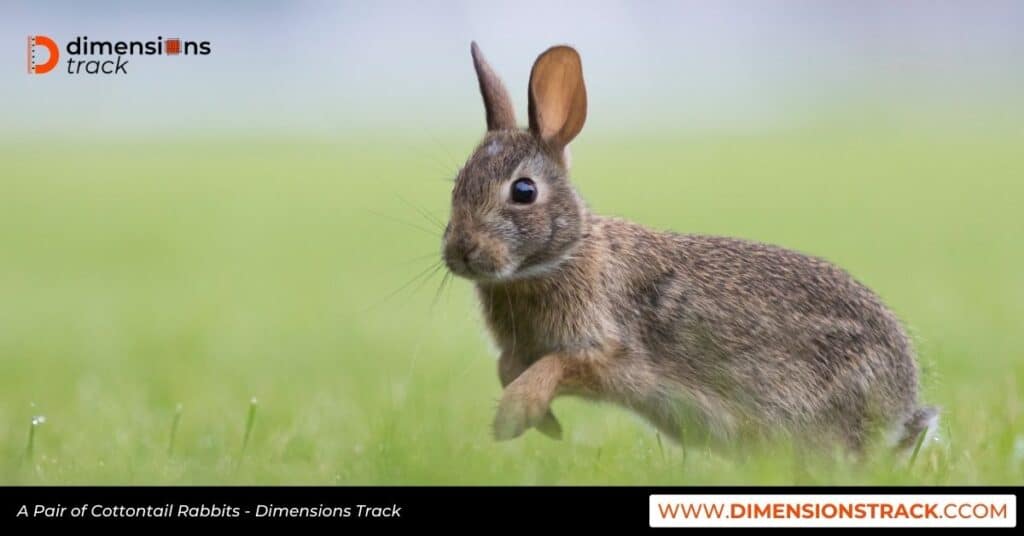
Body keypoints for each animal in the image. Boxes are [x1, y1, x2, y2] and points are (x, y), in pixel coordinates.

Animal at [440, 43, 937, 452]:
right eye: (457, 185)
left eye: (523, 191)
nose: (461, 251)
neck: (564, 254)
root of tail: (901, 408)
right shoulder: (523, 349)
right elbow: (507, 366)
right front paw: (545, 424)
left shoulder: (609, 351)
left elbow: (557, 367)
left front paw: (514, 416)